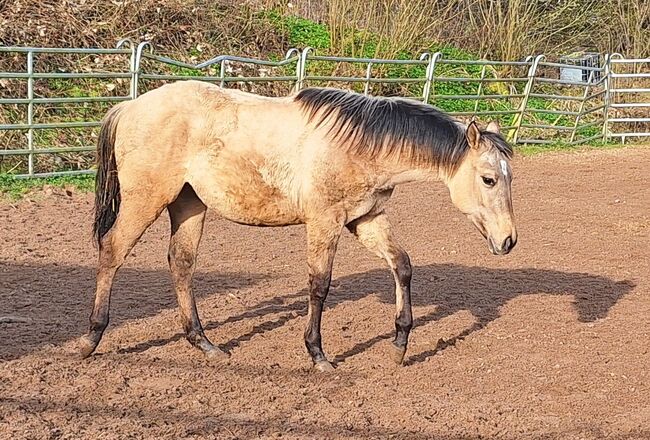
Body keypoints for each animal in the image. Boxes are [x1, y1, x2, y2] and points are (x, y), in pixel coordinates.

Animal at [79, 81, 516, 372]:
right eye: (489, 179)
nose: (509, 240)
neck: (360, 145)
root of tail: (129, 107)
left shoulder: (366, 219)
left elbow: (403, 266)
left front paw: (400, 344)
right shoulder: (325, 222)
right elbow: (319, 285)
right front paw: (318, 354)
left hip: (188, 204)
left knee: (181, 263)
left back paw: (204, 344)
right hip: (146, 200)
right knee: (112, 251)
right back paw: (90, 339)